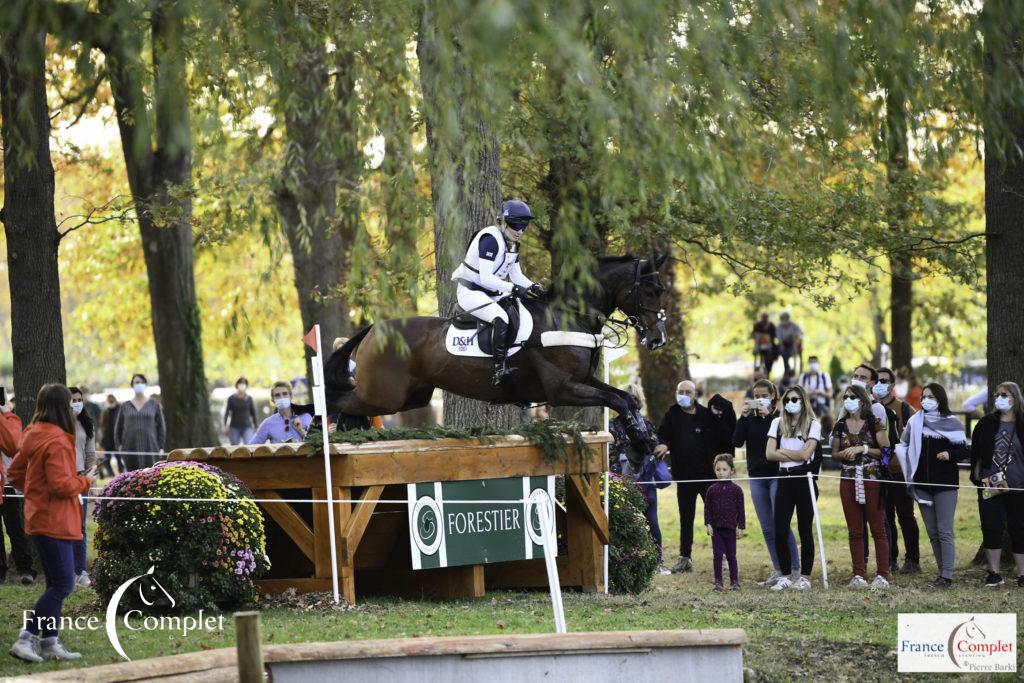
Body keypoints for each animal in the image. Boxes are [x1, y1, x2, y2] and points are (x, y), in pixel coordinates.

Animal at [321, 253, 671, 450]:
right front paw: (641, 437)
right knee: (336, 402)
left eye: (662, 290)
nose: (658, 340)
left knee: (352, 410)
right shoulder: (562, 390)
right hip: (385, 396)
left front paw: (643, 436)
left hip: (411, 396)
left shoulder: (584, 381)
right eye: (649, 291)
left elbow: (625, 399)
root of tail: (373, 330)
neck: (569, 316)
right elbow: (616, 400)